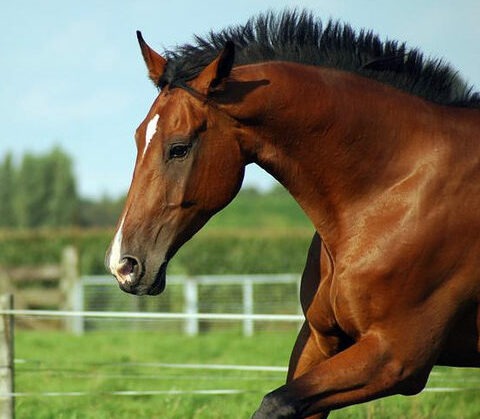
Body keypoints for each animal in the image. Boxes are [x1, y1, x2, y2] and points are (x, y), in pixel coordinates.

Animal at [107, 11, 480, 418]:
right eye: (138, 137)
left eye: (179, 148)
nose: (122, 265)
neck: (393, 189)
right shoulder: (320, 341)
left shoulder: (396, 357)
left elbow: (274, 403)